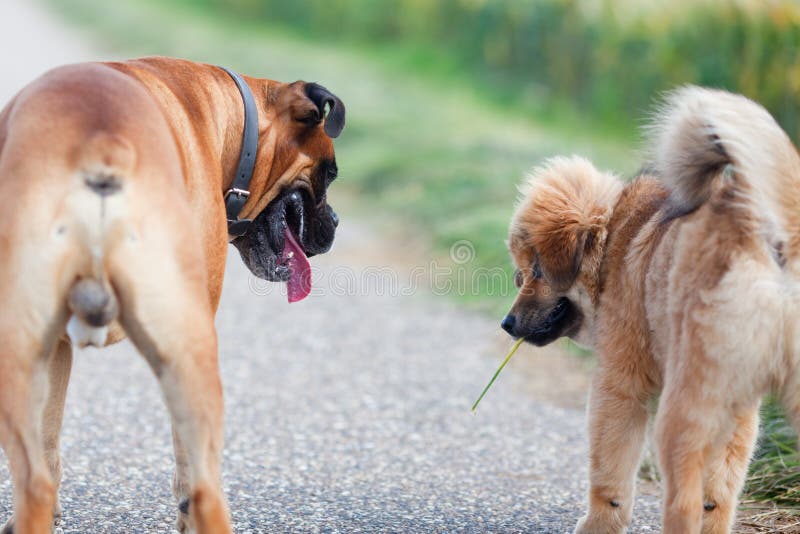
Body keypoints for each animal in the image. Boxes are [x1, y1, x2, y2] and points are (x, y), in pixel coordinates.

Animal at [0, 56, 344, 532]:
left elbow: (49, 441)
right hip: (191, 357)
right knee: (205, 490)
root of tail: (100, 141)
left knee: (33, 483)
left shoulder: (56, 349)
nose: (337, 223)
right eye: (330, 172)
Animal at [504, 86, 796, 532]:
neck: (611, 237)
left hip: (682, 407)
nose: (507, 323)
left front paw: (598, 523)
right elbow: (716, 494)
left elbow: (609, 472)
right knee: (717, 499)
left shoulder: (619, 384)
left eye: (532, 271)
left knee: (684, 502)